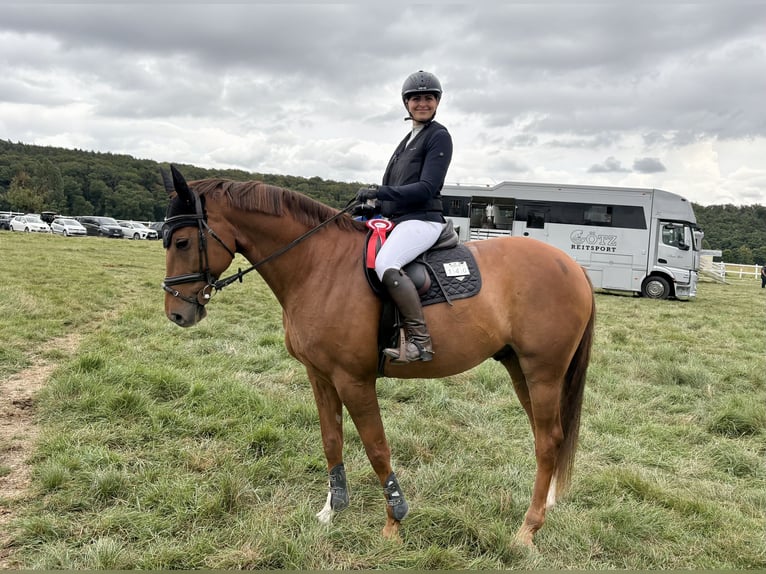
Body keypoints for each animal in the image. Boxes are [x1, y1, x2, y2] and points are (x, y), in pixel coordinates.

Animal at [160, 165, 595, 548]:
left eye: (181, 242)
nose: (176, 314)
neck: (318, 265)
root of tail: (573, 266)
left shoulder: (354, 380)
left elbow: (376, 446)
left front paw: (394, 521)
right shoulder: (320, 376)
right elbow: (331, 439)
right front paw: (332, 509)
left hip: (543, 372)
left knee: (548, 440)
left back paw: (528, 529)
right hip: (521, 369)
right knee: (547, 437)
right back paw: (546, 507)